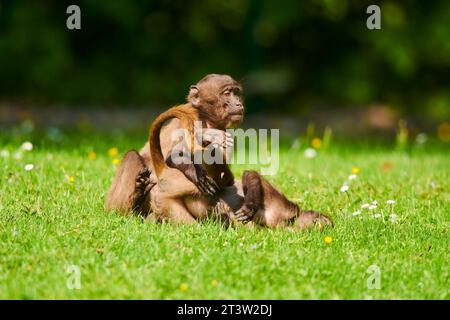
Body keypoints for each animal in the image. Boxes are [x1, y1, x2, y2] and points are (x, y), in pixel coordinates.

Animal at [105, 74, 330, 229]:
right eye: (227, 93)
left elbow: (228, 178)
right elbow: (177, 155)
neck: (206, 119)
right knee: (134, 157)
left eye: (237, 93)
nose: (239, 103)